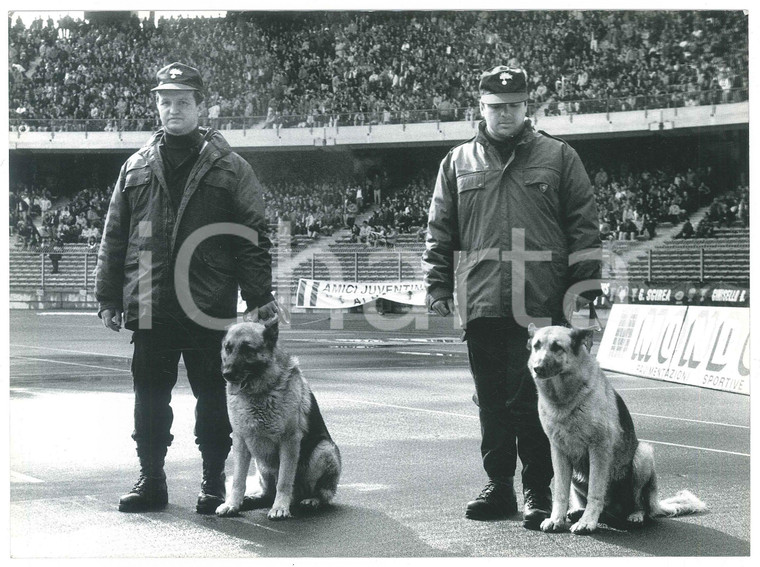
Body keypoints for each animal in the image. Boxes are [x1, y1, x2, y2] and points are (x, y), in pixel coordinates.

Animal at [215, 322, 342, 520]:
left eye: (247, 349)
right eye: (228, 348)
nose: (226, 373)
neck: (260, 393)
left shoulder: (289, 442)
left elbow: (284, 480)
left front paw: (280, 508)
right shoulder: (240, 440)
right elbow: (238, 480)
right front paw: (232, 504)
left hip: (323, 450)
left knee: (322, 494)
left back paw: (311, 500)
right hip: (262, 464)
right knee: (267, 494)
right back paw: (250, 499)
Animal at [524, 326, 704, 536]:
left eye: (557, 347)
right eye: (536, 346)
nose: (537, 368)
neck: (565, 401)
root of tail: (657, 504)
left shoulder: (598, 449)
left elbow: (595, 492)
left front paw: (587, 522)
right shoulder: (558, 452)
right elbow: (560, 492)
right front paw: (556, 519)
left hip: (643, 455)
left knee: (640, 505)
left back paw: (634, 515)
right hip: (578, 476)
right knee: (602, 507)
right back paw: (579, 512)